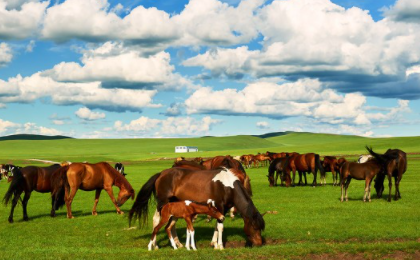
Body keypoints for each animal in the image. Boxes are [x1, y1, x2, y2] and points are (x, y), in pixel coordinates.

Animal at [130, 168, 264, 249]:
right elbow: (220, 227)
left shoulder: (222, 209)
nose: (259, 244)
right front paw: (220, 246)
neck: (227, 185)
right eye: (254, 227)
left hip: (173, 204)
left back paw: (178, 244)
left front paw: (214, 243)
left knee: (171, 224)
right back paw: (155, 245)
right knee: (156, 220)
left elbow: (217, 225)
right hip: (163, 203)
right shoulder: (219, 206)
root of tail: (161, 174)